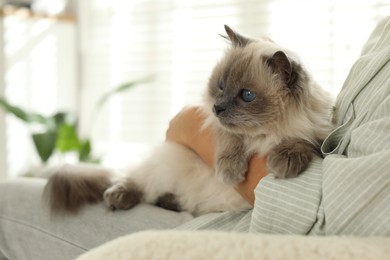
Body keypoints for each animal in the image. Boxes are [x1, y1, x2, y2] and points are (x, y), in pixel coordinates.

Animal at [44, 24, 334, 215]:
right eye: (220, 85)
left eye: (247, 95)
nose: (218, 107)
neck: (265, 133)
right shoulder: (212, 121)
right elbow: (230, 136)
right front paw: (230, 170)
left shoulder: (318, 135)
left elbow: (302, 141)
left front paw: (284, 161)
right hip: (168, 160)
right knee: (138, 181)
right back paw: (119, 197)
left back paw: (169, 202)